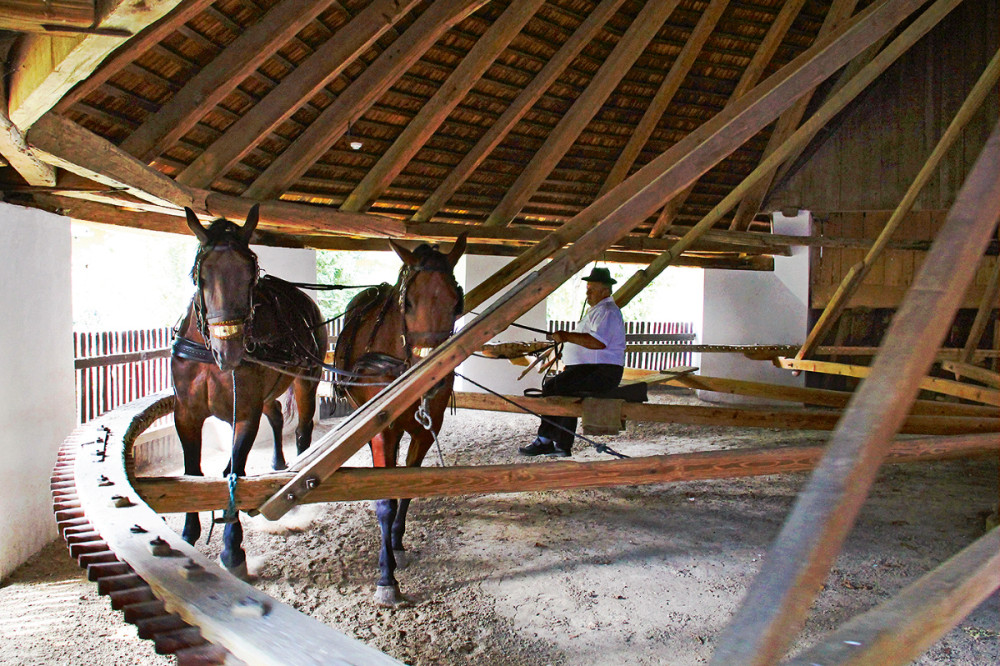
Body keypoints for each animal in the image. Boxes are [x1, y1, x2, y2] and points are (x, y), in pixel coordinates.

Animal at [172, 204, 326, 576]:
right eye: (202, 277)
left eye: (249, 277)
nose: (229, 353)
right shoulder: (185, 414)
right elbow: (191, 472)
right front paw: (188, 534)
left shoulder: (244, 414)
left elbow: (234, 472)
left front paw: (232, 549)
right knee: (275, 414)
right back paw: (277, 463)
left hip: (306, 379)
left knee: (302, 429)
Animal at [332, 235, 464, 608]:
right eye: (408, 303)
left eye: (456, 302)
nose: (431, 378)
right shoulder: (382, 430)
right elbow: (385, 500)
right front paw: (386, 577)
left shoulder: (427, 429)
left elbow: (407, 484)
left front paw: (396, 542)